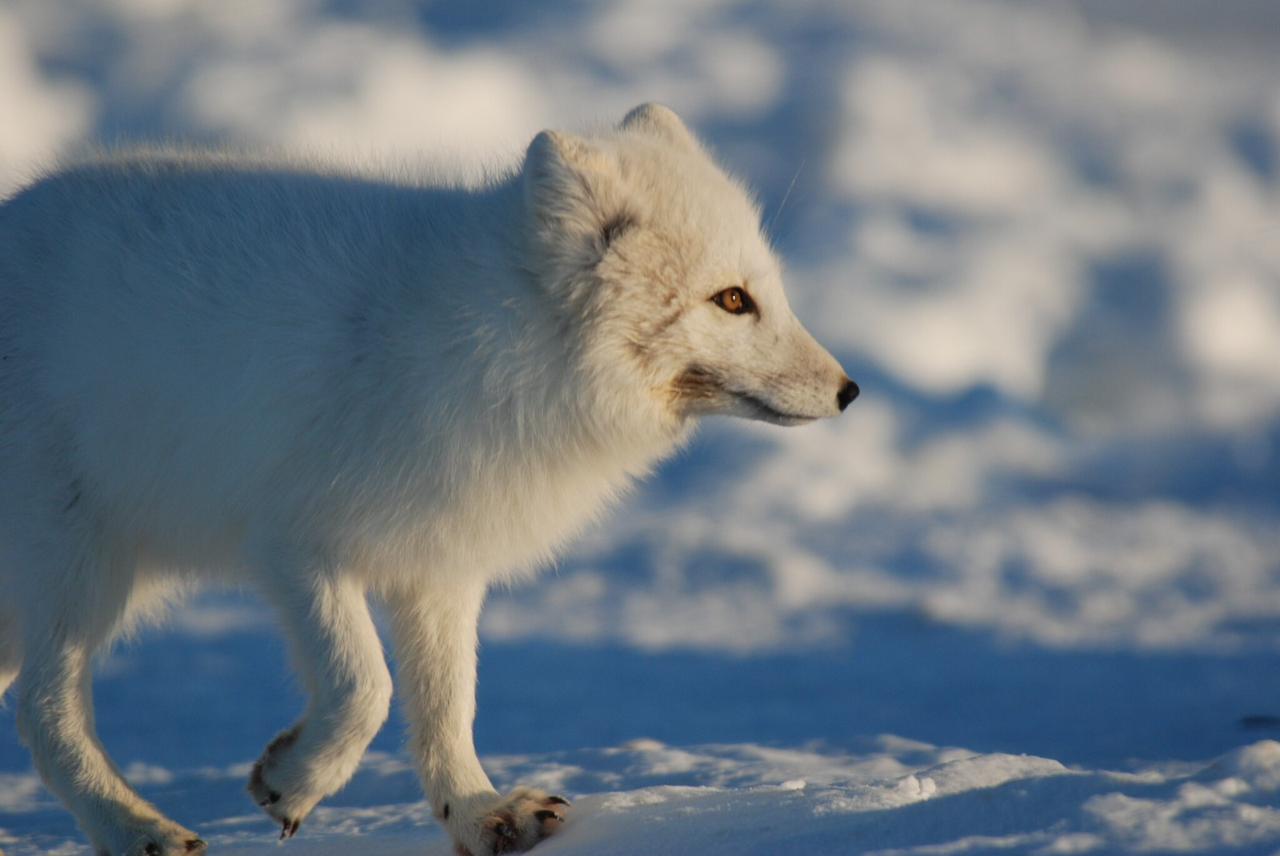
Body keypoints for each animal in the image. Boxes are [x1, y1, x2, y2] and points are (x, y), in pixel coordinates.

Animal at [2, 104, 860, 854]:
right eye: (732, 300)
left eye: (764, 292)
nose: (850, 391)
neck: (498, 342)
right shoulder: (295, 547)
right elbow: (366, 687)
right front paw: (293, 780)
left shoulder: (440, 565)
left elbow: (448, 707)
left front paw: (479, 813)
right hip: (84, 572)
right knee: (43, 714)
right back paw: (136, 829)